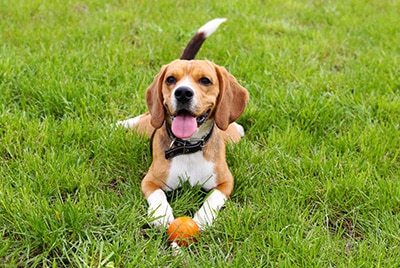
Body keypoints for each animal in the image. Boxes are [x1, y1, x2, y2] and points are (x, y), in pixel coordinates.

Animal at [119, 17, 248, 229]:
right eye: (170, 79)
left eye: (205, 81)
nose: (183, 93)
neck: (189, 147)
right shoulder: (150, 181)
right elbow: (158, 194)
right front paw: (161, 214)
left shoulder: (226, 183)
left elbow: (213, 199)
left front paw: (203, 218)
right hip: (148, 123)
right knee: (142, 118)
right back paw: (120, 124)